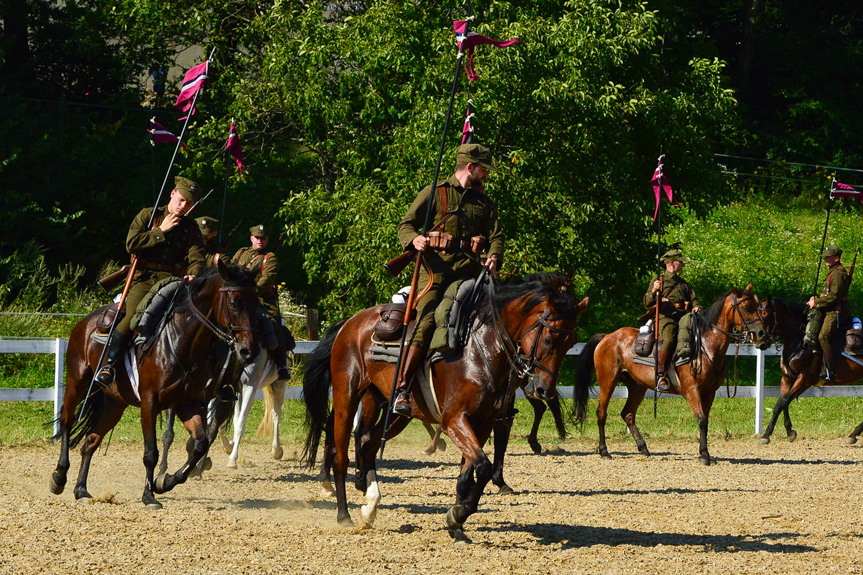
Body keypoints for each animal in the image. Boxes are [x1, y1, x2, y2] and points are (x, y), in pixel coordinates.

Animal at [49, 260, 260, 508]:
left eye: (256, 303)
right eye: (234, 303)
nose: (249, 350)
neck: (181, 341)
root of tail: (85, 322)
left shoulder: (188, 404)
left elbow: (200, 444)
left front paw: (165, 482)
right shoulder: (149, 404)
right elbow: (151, 453)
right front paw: (149, 495)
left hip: (115, 404)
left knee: (91, 440)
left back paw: (81, 489)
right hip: (77, 383)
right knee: (67, 422)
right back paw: (59, 476)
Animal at [300, 272, 592, 536]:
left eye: (570, 343)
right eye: (549, 338)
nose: (543, 389)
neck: (482, 348)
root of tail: (350, 323)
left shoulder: (482, 422)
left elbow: (470, 475)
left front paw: (457, 520)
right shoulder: (455, 420)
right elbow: (483, 467)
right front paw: (459, 514)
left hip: (390, 409)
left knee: (367, 442)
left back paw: (370, 504)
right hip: (347, 398)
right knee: (341, 453)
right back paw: (344, 513)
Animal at [576, 286, 772, 466]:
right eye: (746, 307)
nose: (762, 335)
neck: (704, 346)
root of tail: (606, 337)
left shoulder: (710, 392)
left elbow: (705, 421)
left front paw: (704, 454)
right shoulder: (692, 390)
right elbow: (701, 419)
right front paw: (704, 456)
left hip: (637, 386)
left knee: (628, 414)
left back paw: (643, 448)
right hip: (607, 381)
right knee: (602, 413)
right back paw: (604, 451)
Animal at [764, 302, 863, 446]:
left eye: (765, 315)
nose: (759, 341)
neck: (801, 341)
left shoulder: (805, 379)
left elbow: (785, 401)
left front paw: (783, 432)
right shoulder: (787, 378)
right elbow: (780, 403)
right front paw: (776, 433)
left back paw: (853, 434)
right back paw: (853, 434)